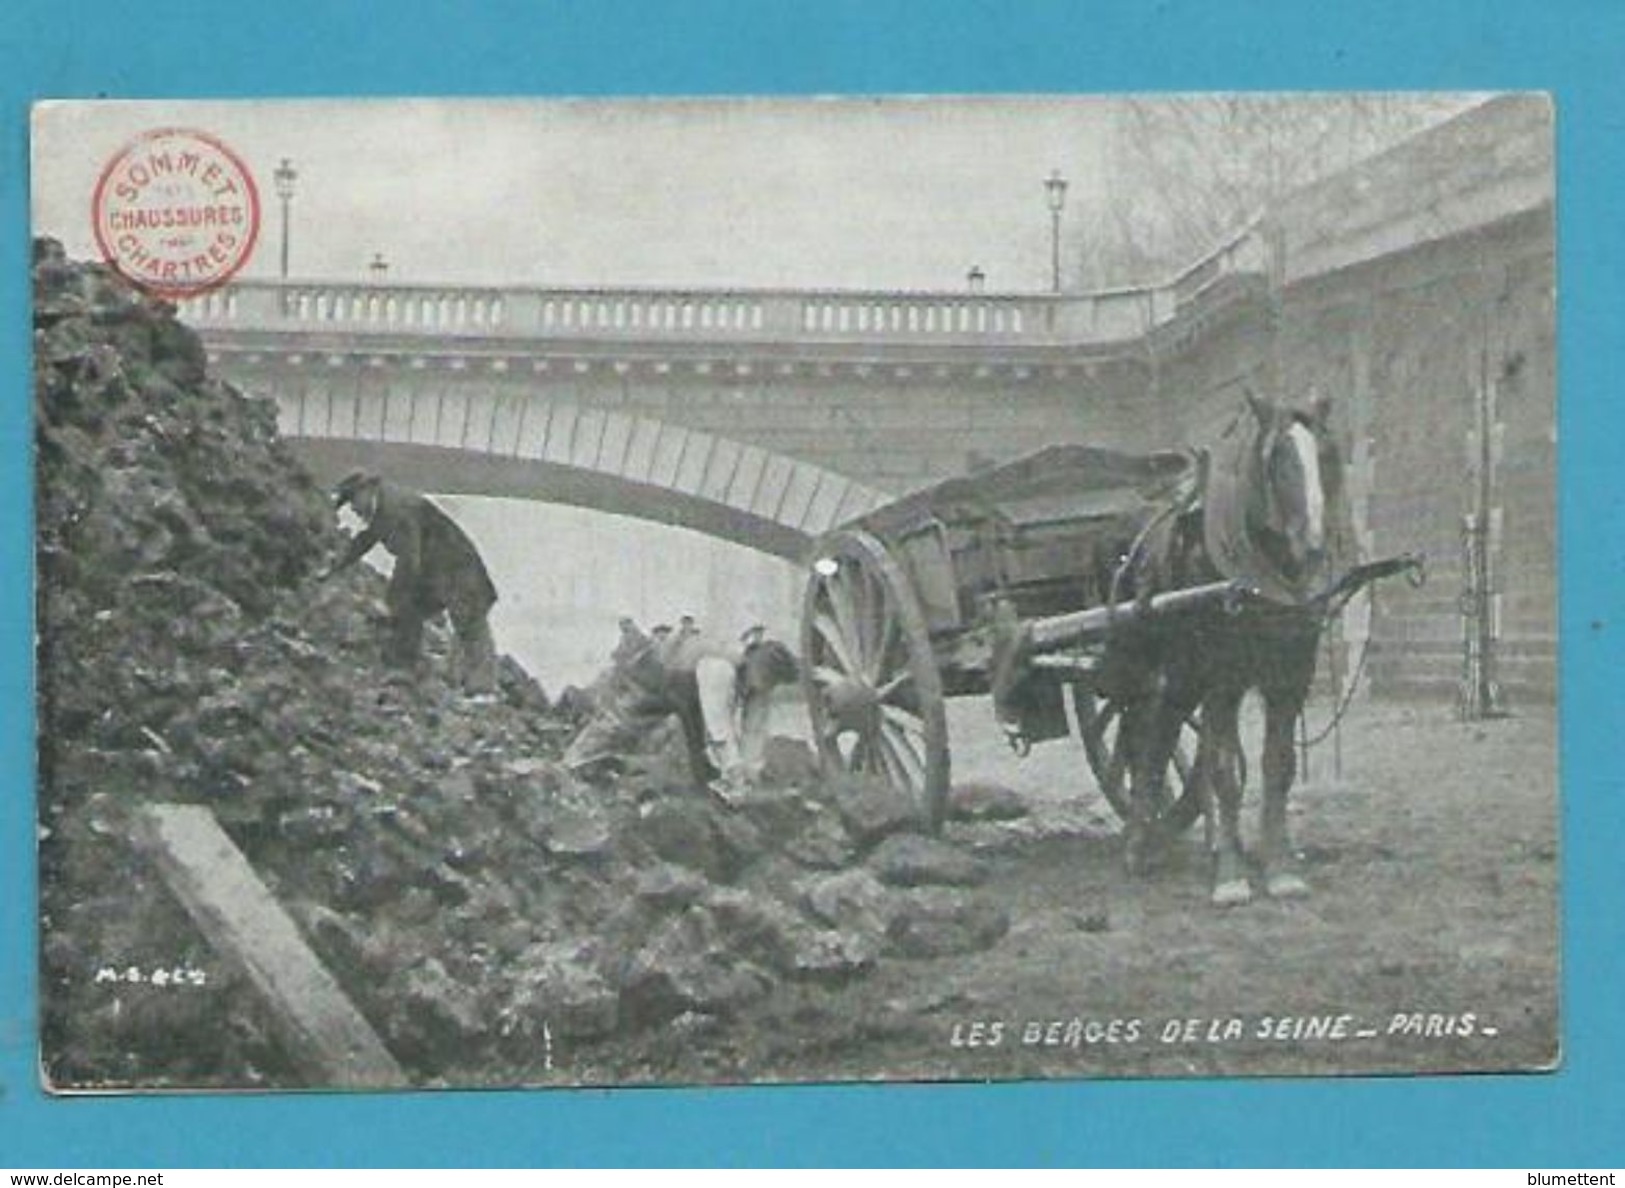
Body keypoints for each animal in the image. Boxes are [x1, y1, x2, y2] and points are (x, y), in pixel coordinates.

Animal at [1118, 394, 1345, 903]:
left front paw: (1279, 866)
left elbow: (1278, 765)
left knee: (1162, 734)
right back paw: (1142, 844)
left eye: (1325, 455)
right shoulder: (1221, 676)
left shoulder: (1291, 675)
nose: (1313, 545)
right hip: (1168, 668)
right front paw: (1230, 877)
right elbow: (1223, 770)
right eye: (1277, 459)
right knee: (1148, 737)